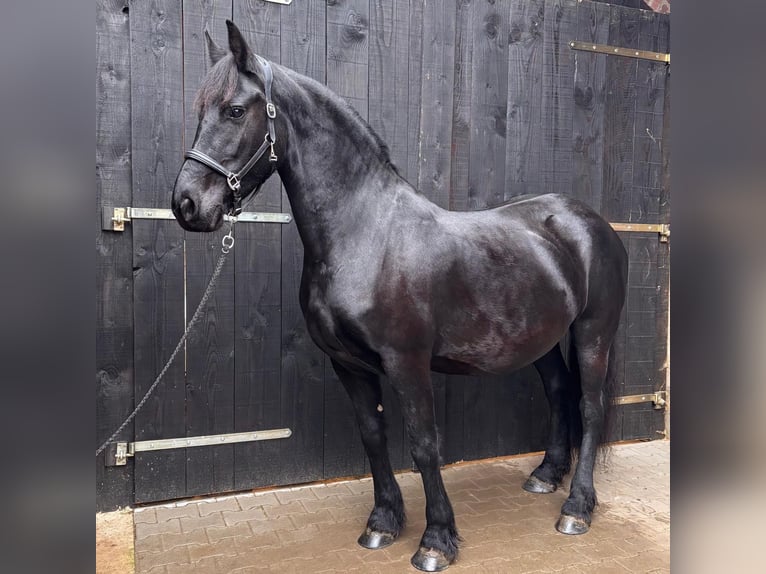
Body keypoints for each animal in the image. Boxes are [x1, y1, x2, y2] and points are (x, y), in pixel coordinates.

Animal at [172, 20, 628, 572]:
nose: (187, 204)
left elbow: (423, 444)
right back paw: (545, 476)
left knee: (589, 405)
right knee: (560, 391)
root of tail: (588, 221)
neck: (365, 234)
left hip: (594, 331)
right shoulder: (347, 364)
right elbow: (373, 436)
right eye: (201, 111)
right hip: (542, 338)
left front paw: (436, 539)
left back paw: (577, 507)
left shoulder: (407, 363)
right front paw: (383, 522)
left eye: (236, 110)